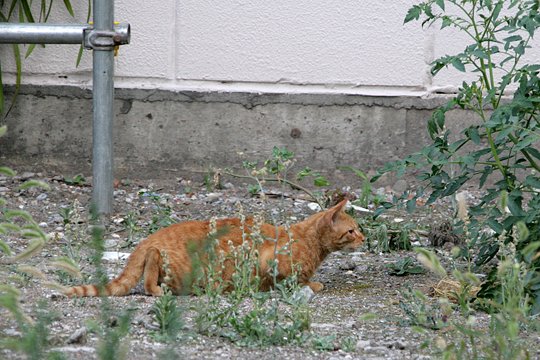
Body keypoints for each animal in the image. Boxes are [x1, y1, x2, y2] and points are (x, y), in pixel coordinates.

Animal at [65, 198, 364, 296]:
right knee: (150, 273)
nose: (364, 238)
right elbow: (295, 279)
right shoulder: (270, 261)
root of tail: (148, 238)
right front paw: (312, 284)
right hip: (171, 264)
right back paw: (157, 289)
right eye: (352, 230)